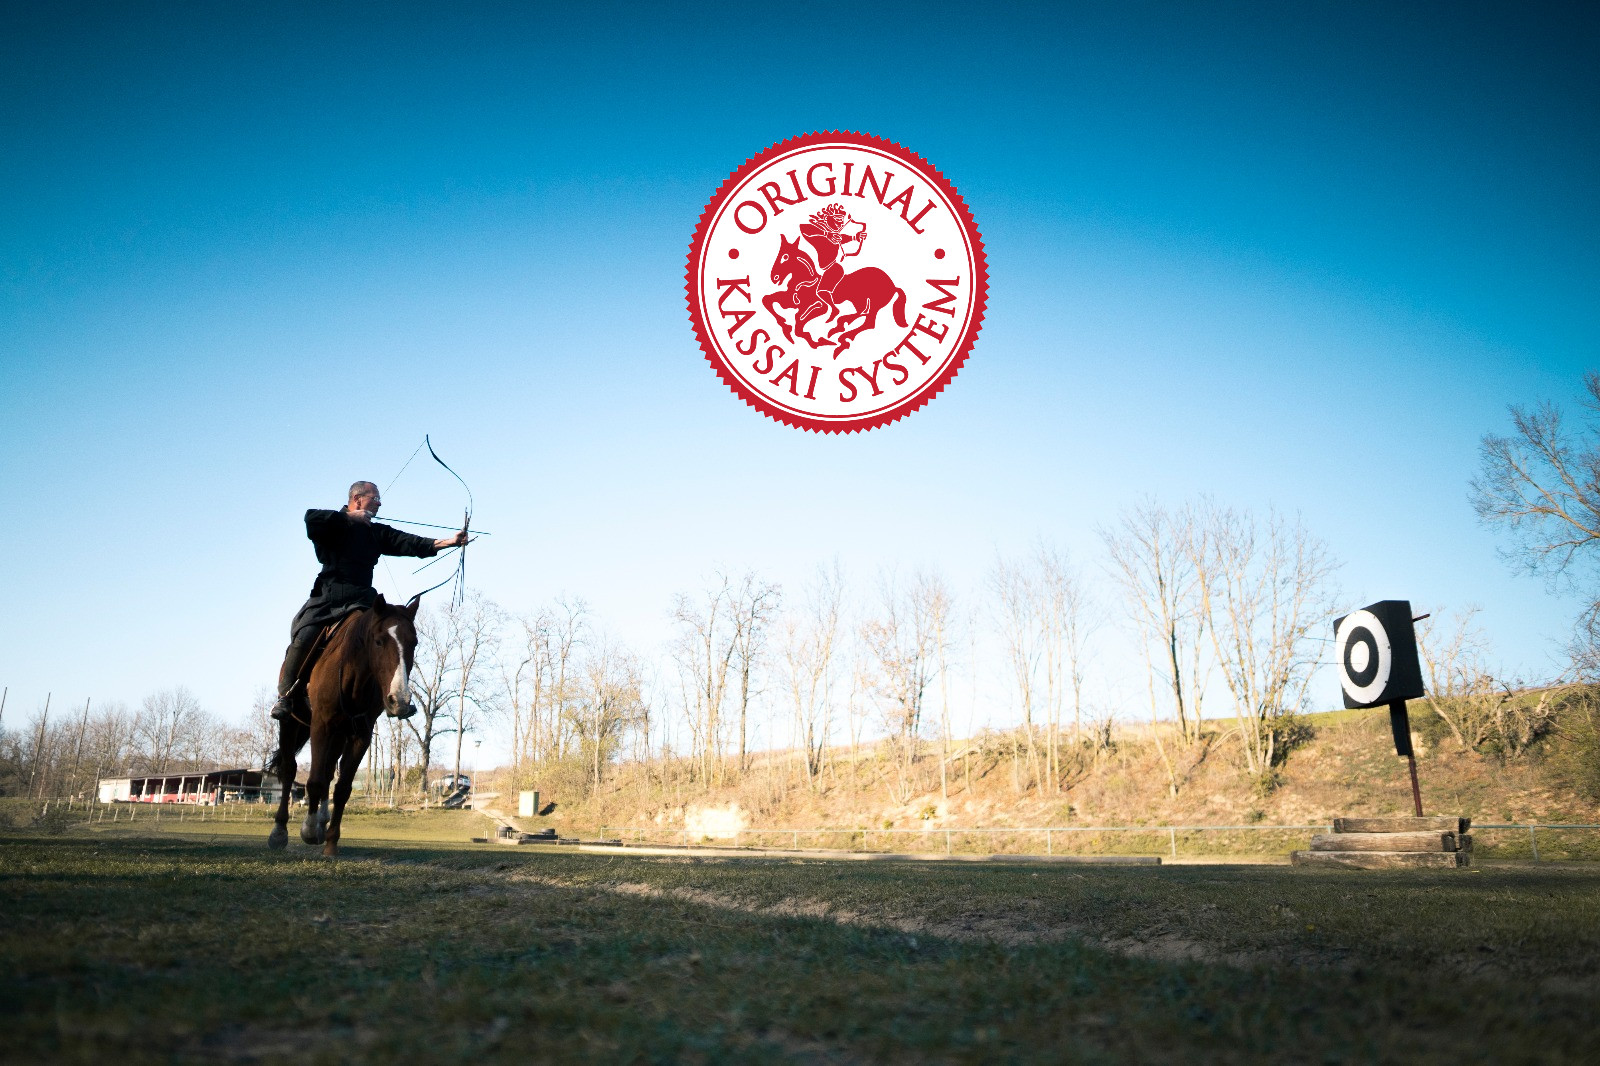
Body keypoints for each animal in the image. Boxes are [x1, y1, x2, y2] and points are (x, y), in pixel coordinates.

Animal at [267, 598, 419, 857]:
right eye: (379, 641)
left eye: (414, 642)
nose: (399, 701)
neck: (352, 670)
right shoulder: (321, 725)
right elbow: (314, 780)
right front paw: (308, 830)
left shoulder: (361, 735)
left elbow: (343, 788)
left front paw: (330, 842)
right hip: (292, 723)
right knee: (289, 770)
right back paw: (280, 831)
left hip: (339, 734)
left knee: (329, 772)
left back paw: (321, 821)